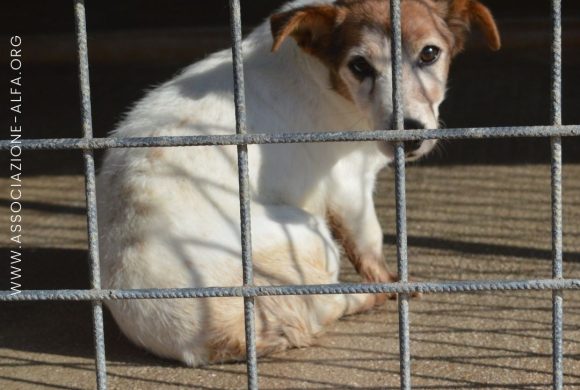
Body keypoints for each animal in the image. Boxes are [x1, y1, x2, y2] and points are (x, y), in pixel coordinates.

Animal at [96, 0, 498, 366]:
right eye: (359, 66)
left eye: (430, 54)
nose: (411, 136)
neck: (326, 79)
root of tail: (227, 332)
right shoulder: (349, 186)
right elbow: (370, 246)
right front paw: (391, 281)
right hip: (310, 233)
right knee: (329, 300)